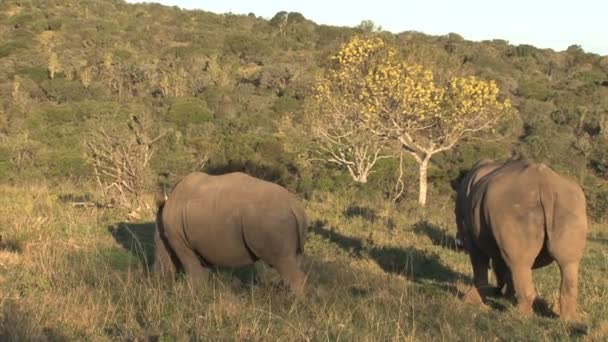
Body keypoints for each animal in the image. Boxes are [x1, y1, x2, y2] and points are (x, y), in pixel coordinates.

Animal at [154, 171, 308, 294]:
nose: (158, 280)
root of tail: (295, 207)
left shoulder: (180, 240)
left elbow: (192, 267)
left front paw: (190, 294)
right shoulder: (201, 242)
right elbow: (203, 270)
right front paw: (202, 294)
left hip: (272, 220)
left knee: (281, 262)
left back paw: (292, 304)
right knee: (291, 260)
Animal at [458, 158, 588, 320]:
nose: (497, 291)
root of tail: (544, 184)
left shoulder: (472, 234)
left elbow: (480, 265)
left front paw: (471, 301)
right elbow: (504, 267)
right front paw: (507, 296)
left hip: (512, 206)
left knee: (518, 261)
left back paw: (516, 315)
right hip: (570, 203)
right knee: (568, 261)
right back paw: (569, 320)